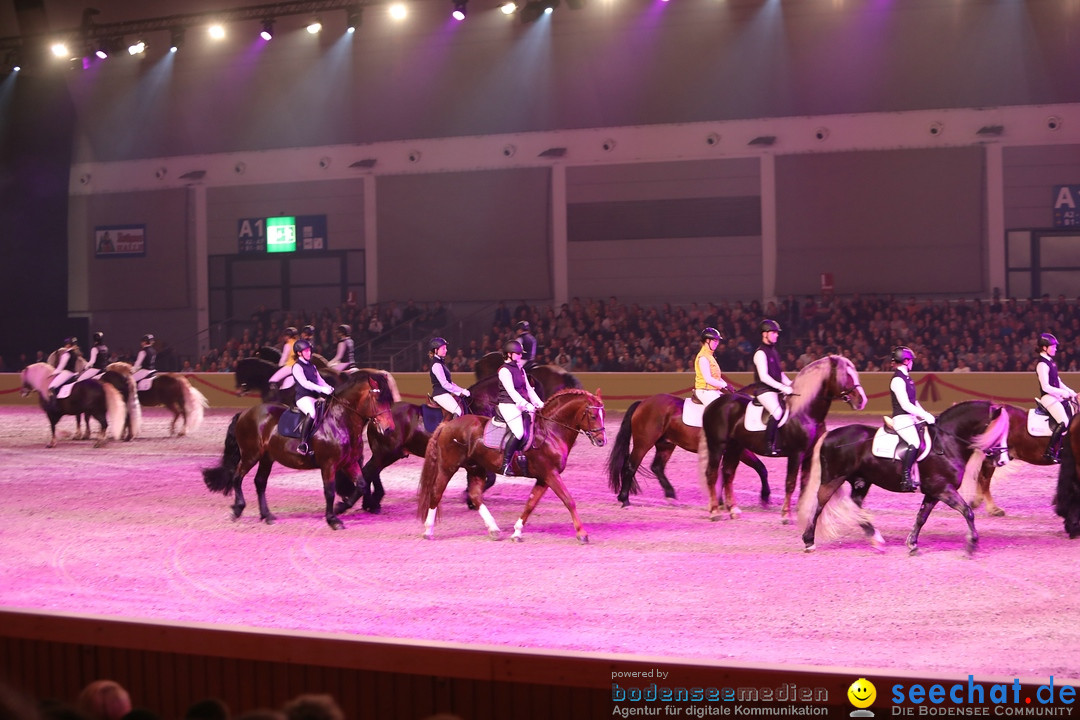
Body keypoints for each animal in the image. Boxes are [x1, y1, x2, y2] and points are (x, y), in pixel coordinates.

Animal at [201, 371, 397, 528]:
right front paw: (333, 519)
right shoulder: (328, 465)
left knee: (260, 482)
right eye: (378, 400)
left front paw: (352, 506)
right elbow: (329, 491)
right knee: (237, 477)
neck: (340, 421)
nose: (389, 429)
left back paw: (267, 516)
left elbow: (362, 484)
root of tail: (244, 413)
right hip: (251, 455)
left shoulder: (349, 463)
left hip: (266, 458)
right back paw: (237, 509)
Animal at [416, 390, 609, 544]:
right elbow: (569, 500)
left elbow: (531, 504)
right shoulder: (550, 474)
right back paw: (428, 531)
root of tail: (447, 424)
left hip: (476, 468)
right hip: (448, 467)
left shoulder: (543, 478)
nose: (602, 441)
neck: (551, 431)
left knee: (475, 496)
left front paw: (517, 533)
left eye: (604, 415)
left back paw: (494, 530)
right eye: (593, 416)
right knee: (436, 493)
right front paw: (582, 534)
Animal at [604, 395, 773, 507]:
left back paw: (670, 494)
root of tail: (643, 403)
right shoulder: (739, 451)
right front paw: (764, 496)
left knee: (657, 467)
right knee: (631, 466)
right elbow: (760, 468)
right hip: (643, 443)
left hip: (666, 445)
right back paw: (624, 499)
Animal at [695, 358, 872, 520]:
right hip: (717, 445)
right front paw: (786, 514)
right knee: (712, 474)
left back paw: (733, 510)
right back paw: (715, 511)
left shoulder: (809, 455)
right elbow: (790, 483)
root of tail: (714, 404)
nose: (862, 400)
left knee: (728, 473)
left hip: (735, 447)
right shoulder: (796, 454)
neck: (806, 413)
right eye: (845, 376)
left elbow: (804, 484)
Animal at [794, 399, 1010, 557]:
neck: (946, 443)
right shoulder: (943, 488)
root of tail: (830, 434)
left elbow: (922, 517)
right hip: (833, 479)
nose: (1003, 460)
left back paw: (876, 539)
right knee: (820, 504)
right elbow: (967, 511)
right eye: (996, 431)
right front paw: (972, 544)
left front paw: (912, 544)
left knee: (853, 504)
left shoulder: (934, 491)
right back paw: (809, 541)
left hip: (861, 481)